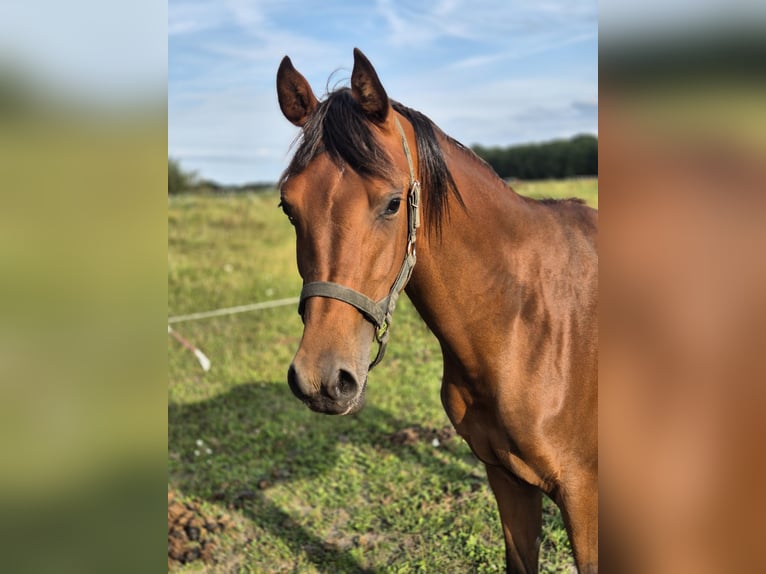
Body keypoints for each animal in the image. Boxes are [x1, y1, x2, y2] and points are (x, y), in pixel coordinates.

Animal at [276, 49, 600, 574]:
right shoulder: (507, 478)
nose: (321, 380)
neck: (528, 324)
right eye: (289, 208)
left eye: (392, 203)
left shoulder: (584, 495)